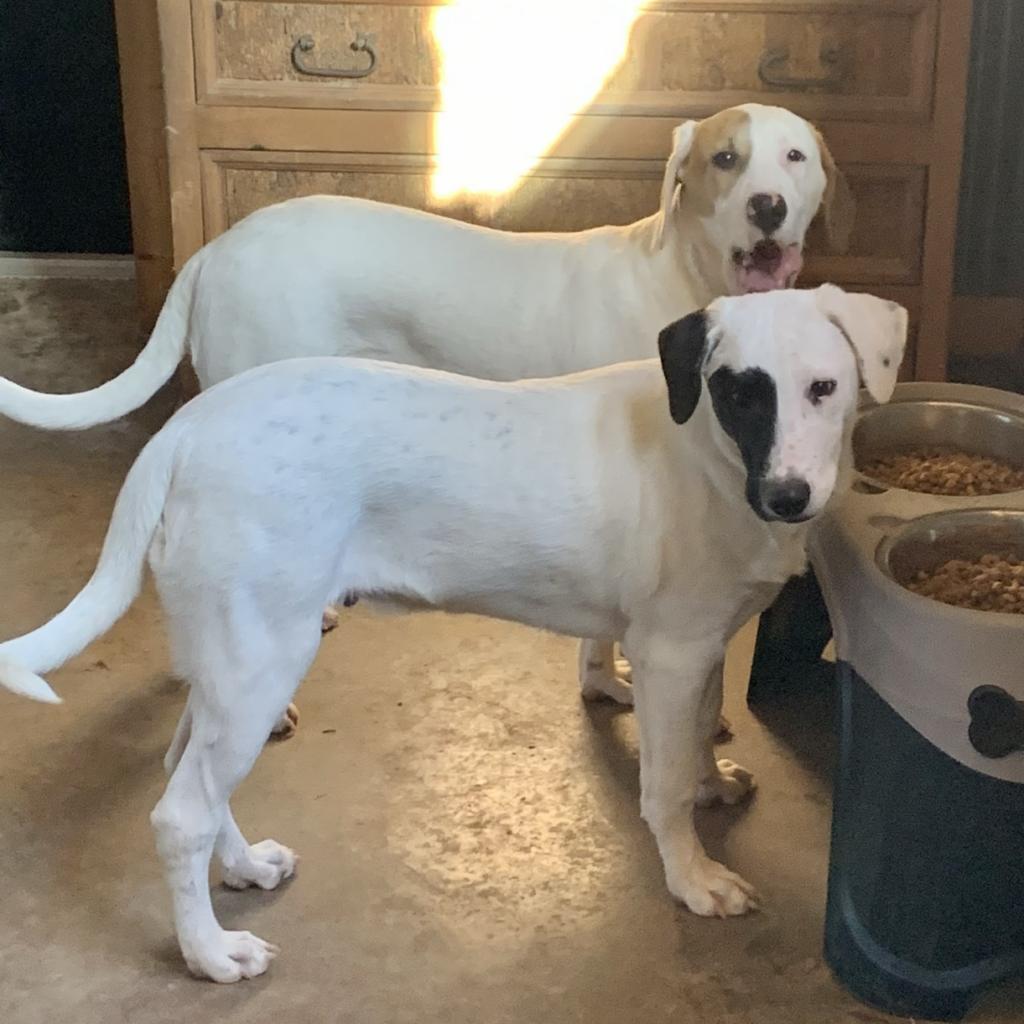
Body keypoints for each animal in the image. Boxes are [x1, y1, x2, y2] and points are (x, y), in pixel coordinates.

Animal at [0, 282, 905, 983]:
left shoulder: (703, 642)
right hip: (263, 658)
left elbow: (700, 734)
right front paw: (694, 878)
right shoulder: (670, 652)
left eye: (824, 388)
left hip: (229, 660)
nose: (787, 497)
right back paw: (211, 954)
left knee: (184, 765)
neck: (708, 458)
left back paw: (245, 866)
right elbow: (665, 785)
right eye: (739, 392)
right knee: (178, 814)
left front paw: (714, 780)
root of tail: (183, 430)